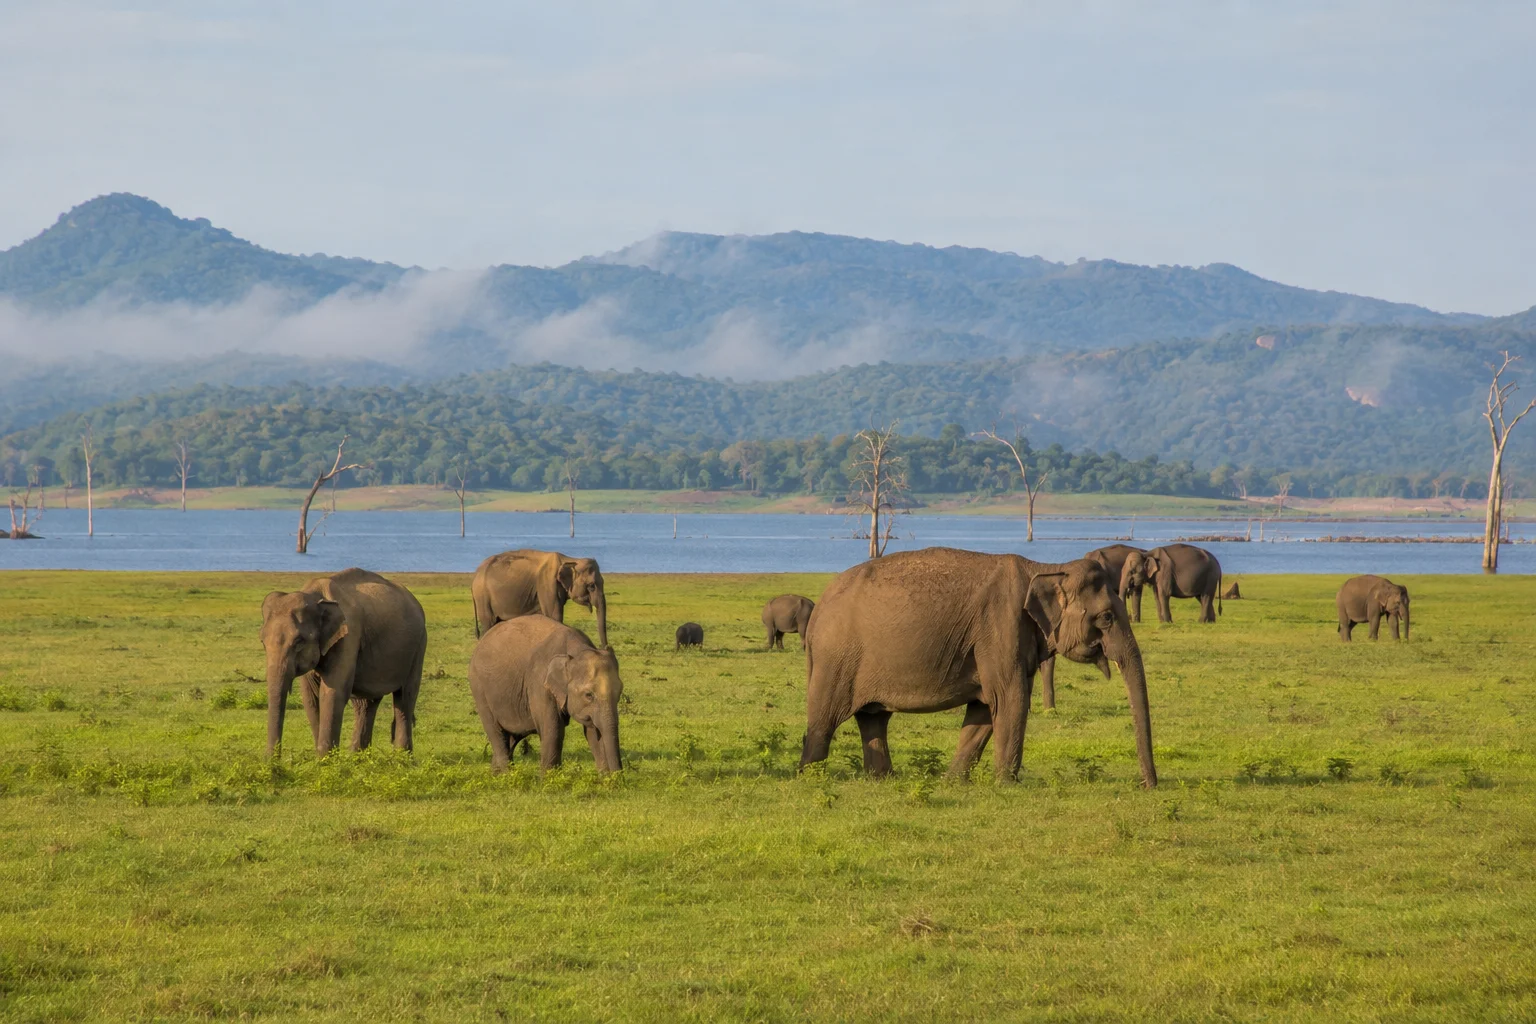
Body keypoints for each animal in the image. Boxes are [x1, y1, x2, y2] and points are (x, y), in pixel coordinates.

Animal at [259, 567, 427, 758]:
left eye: (299, 642)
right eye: (262, 642)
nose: (271, 761)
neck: (315, 596)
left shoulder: (349, 636)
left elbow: (332, 693)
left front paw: (325, 760)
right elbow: (310, 696)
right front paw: (324, 759)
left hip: (419, 645)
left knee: (405, 697)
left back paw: (402, 759)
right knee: (365, 703)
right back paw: (358, 758)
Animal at [469, 616, 623, 773]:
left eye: (619, 692)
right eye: (588, 695)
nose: (619, 775)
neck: (576, 650)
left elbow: (592, 732)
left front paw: (605, 777)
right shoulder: (540, 684)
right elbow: (553, 732)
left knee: (511, 738)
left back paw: (497, 775)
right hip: (479, 690)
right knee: (497, 734)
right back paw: (507, 774)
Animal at [471, 549, 607, 648]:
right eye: (591, 586)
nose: (604, 647)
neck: (570, 559)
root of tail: (475, 575)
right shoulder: (547, 584)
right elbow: (554, 616)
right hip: (482, 597)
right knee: (489, 623)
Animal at [798, 547, 1156, 787]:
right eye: (1106, 617)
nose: (1146, 785)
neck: (1046, 567)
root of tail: (819, 609)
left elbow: (984, 709)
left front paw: (952, 782)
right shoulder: (1001, 627)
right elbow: (1011, 699)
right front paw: (1007, 785)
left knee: (873, 719)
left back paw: (882, 780)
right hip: (836, 659)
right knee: (824, 721)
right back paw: (809, 777)